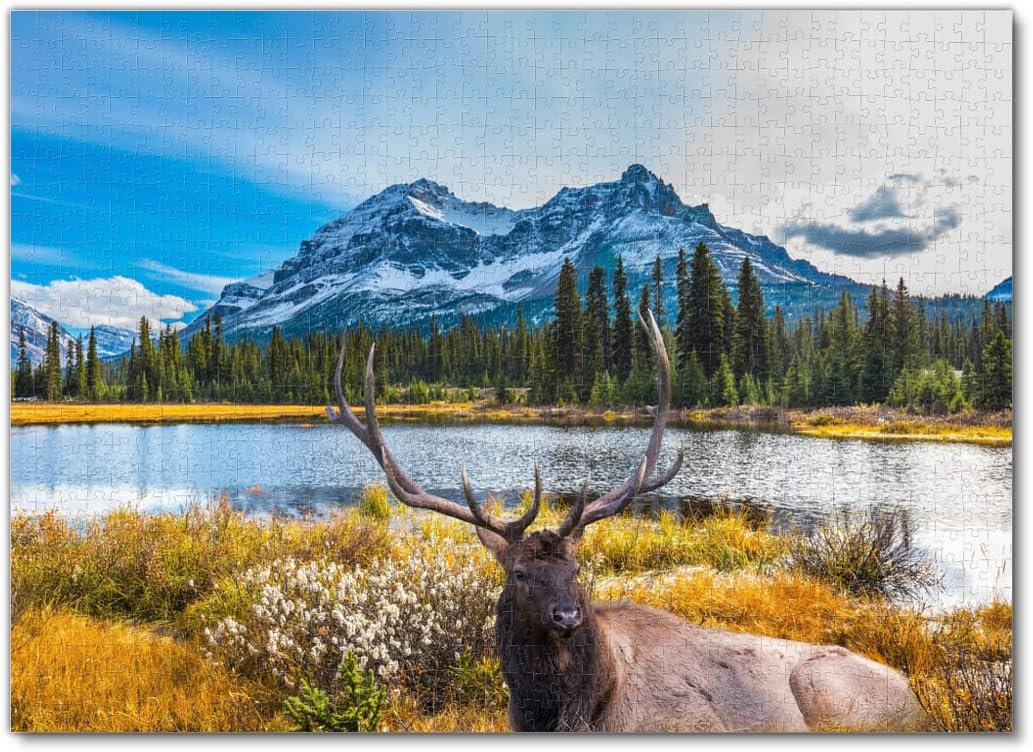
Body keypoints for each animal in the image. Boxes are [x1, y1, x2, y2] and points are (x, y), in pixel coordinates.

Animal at [326, 311, 927, 732]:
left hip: (827, 689)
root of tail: (918, 696)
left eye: (577, 568)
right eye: (519, 574)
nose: (568, 614)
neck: (567, 712)